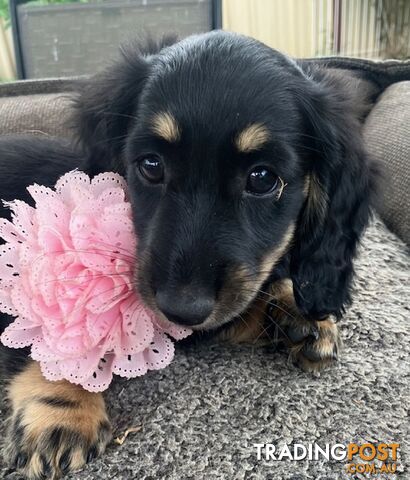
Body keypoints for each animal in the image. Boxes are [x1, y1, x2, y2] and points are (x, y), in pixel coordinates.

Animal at [0, 31, 388, 478]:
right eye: (151, 165)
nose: (182, 308)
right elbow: (49, 332)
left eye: (263, 178)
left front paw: (296, 311)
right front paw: (61, 408)